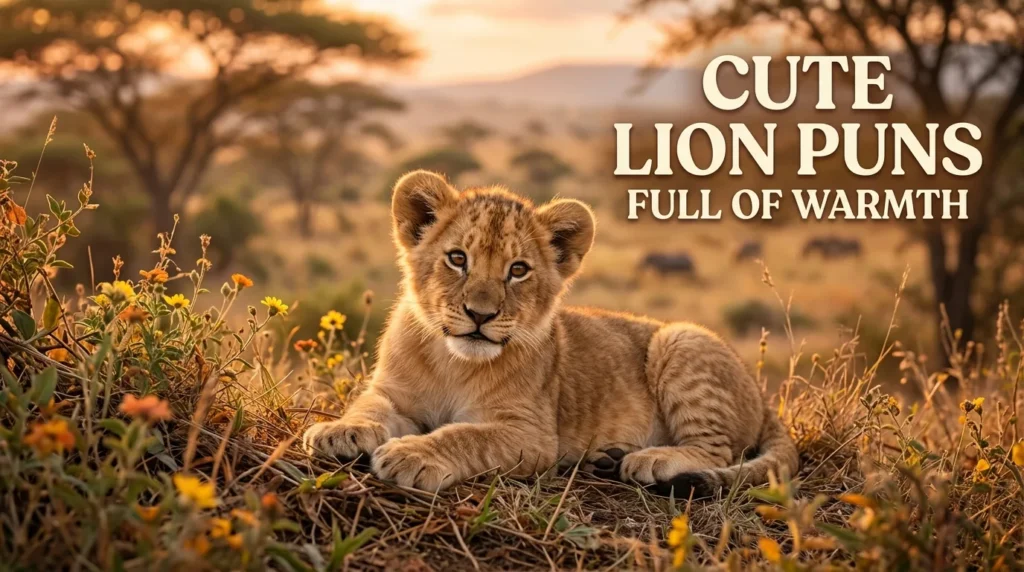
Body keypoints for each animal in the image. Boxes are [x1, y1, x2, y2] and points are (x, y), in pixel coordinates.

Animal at [301, 170, 799, 497]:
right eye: (458, 259)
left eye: (518, 270)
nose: (479, 314)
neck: (452, 361)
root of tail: (763, 398)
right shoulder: (393, 395)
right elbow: (367, 406)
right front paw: (339, 432)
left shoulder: (532, 435)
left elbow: (464, 436)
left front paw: (413, 455)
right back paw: (607, 457)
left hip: (680, 339)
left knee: (719, 452)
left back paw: (649, 460)